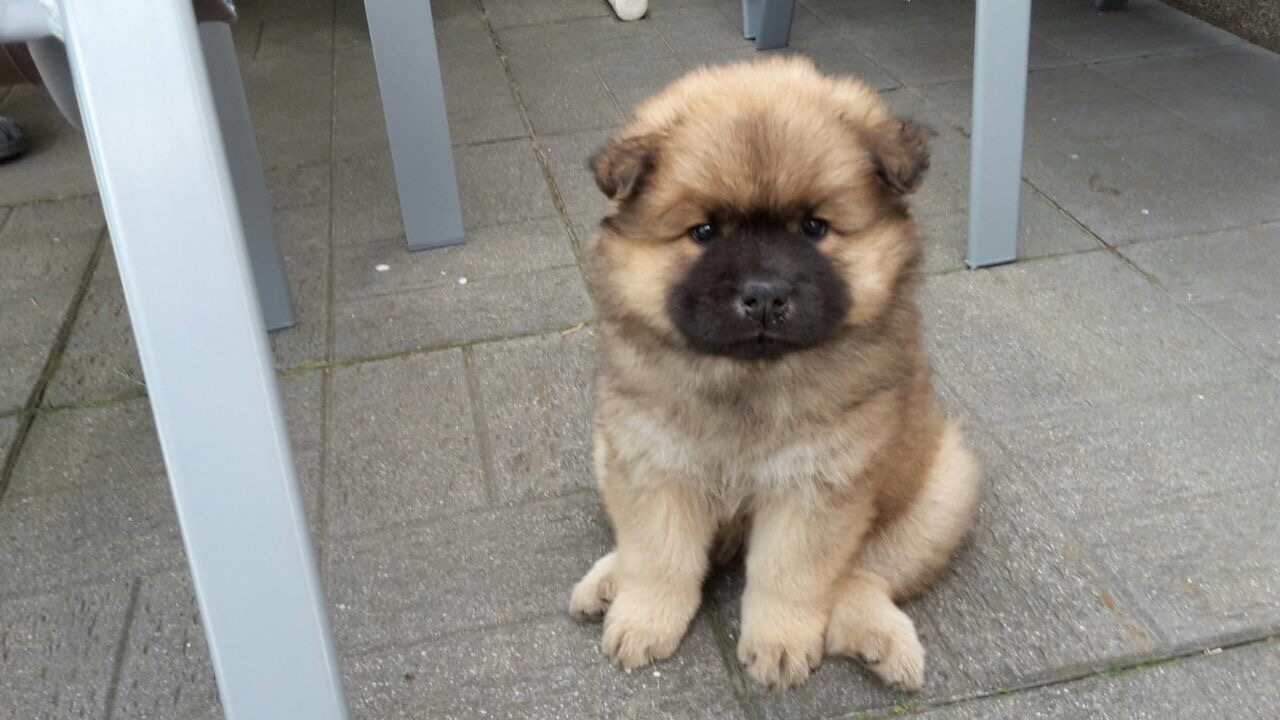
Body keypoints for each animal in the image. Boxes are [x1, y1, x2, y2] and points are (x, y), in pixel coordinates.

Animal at [568, 56, 981, 692]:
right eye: (704, 232)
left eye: (813, 227)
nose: (763, 296)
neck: (749, 379)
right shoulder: (653, 462)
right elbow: (660, 557)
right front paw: (643, 620)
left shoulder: (817, 483)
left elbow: (790, 573)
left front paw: (780, 646)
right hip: (603, 446)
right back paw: (607, 582)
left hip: (943, 488)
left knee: (865, 577)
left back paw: (884, 643)